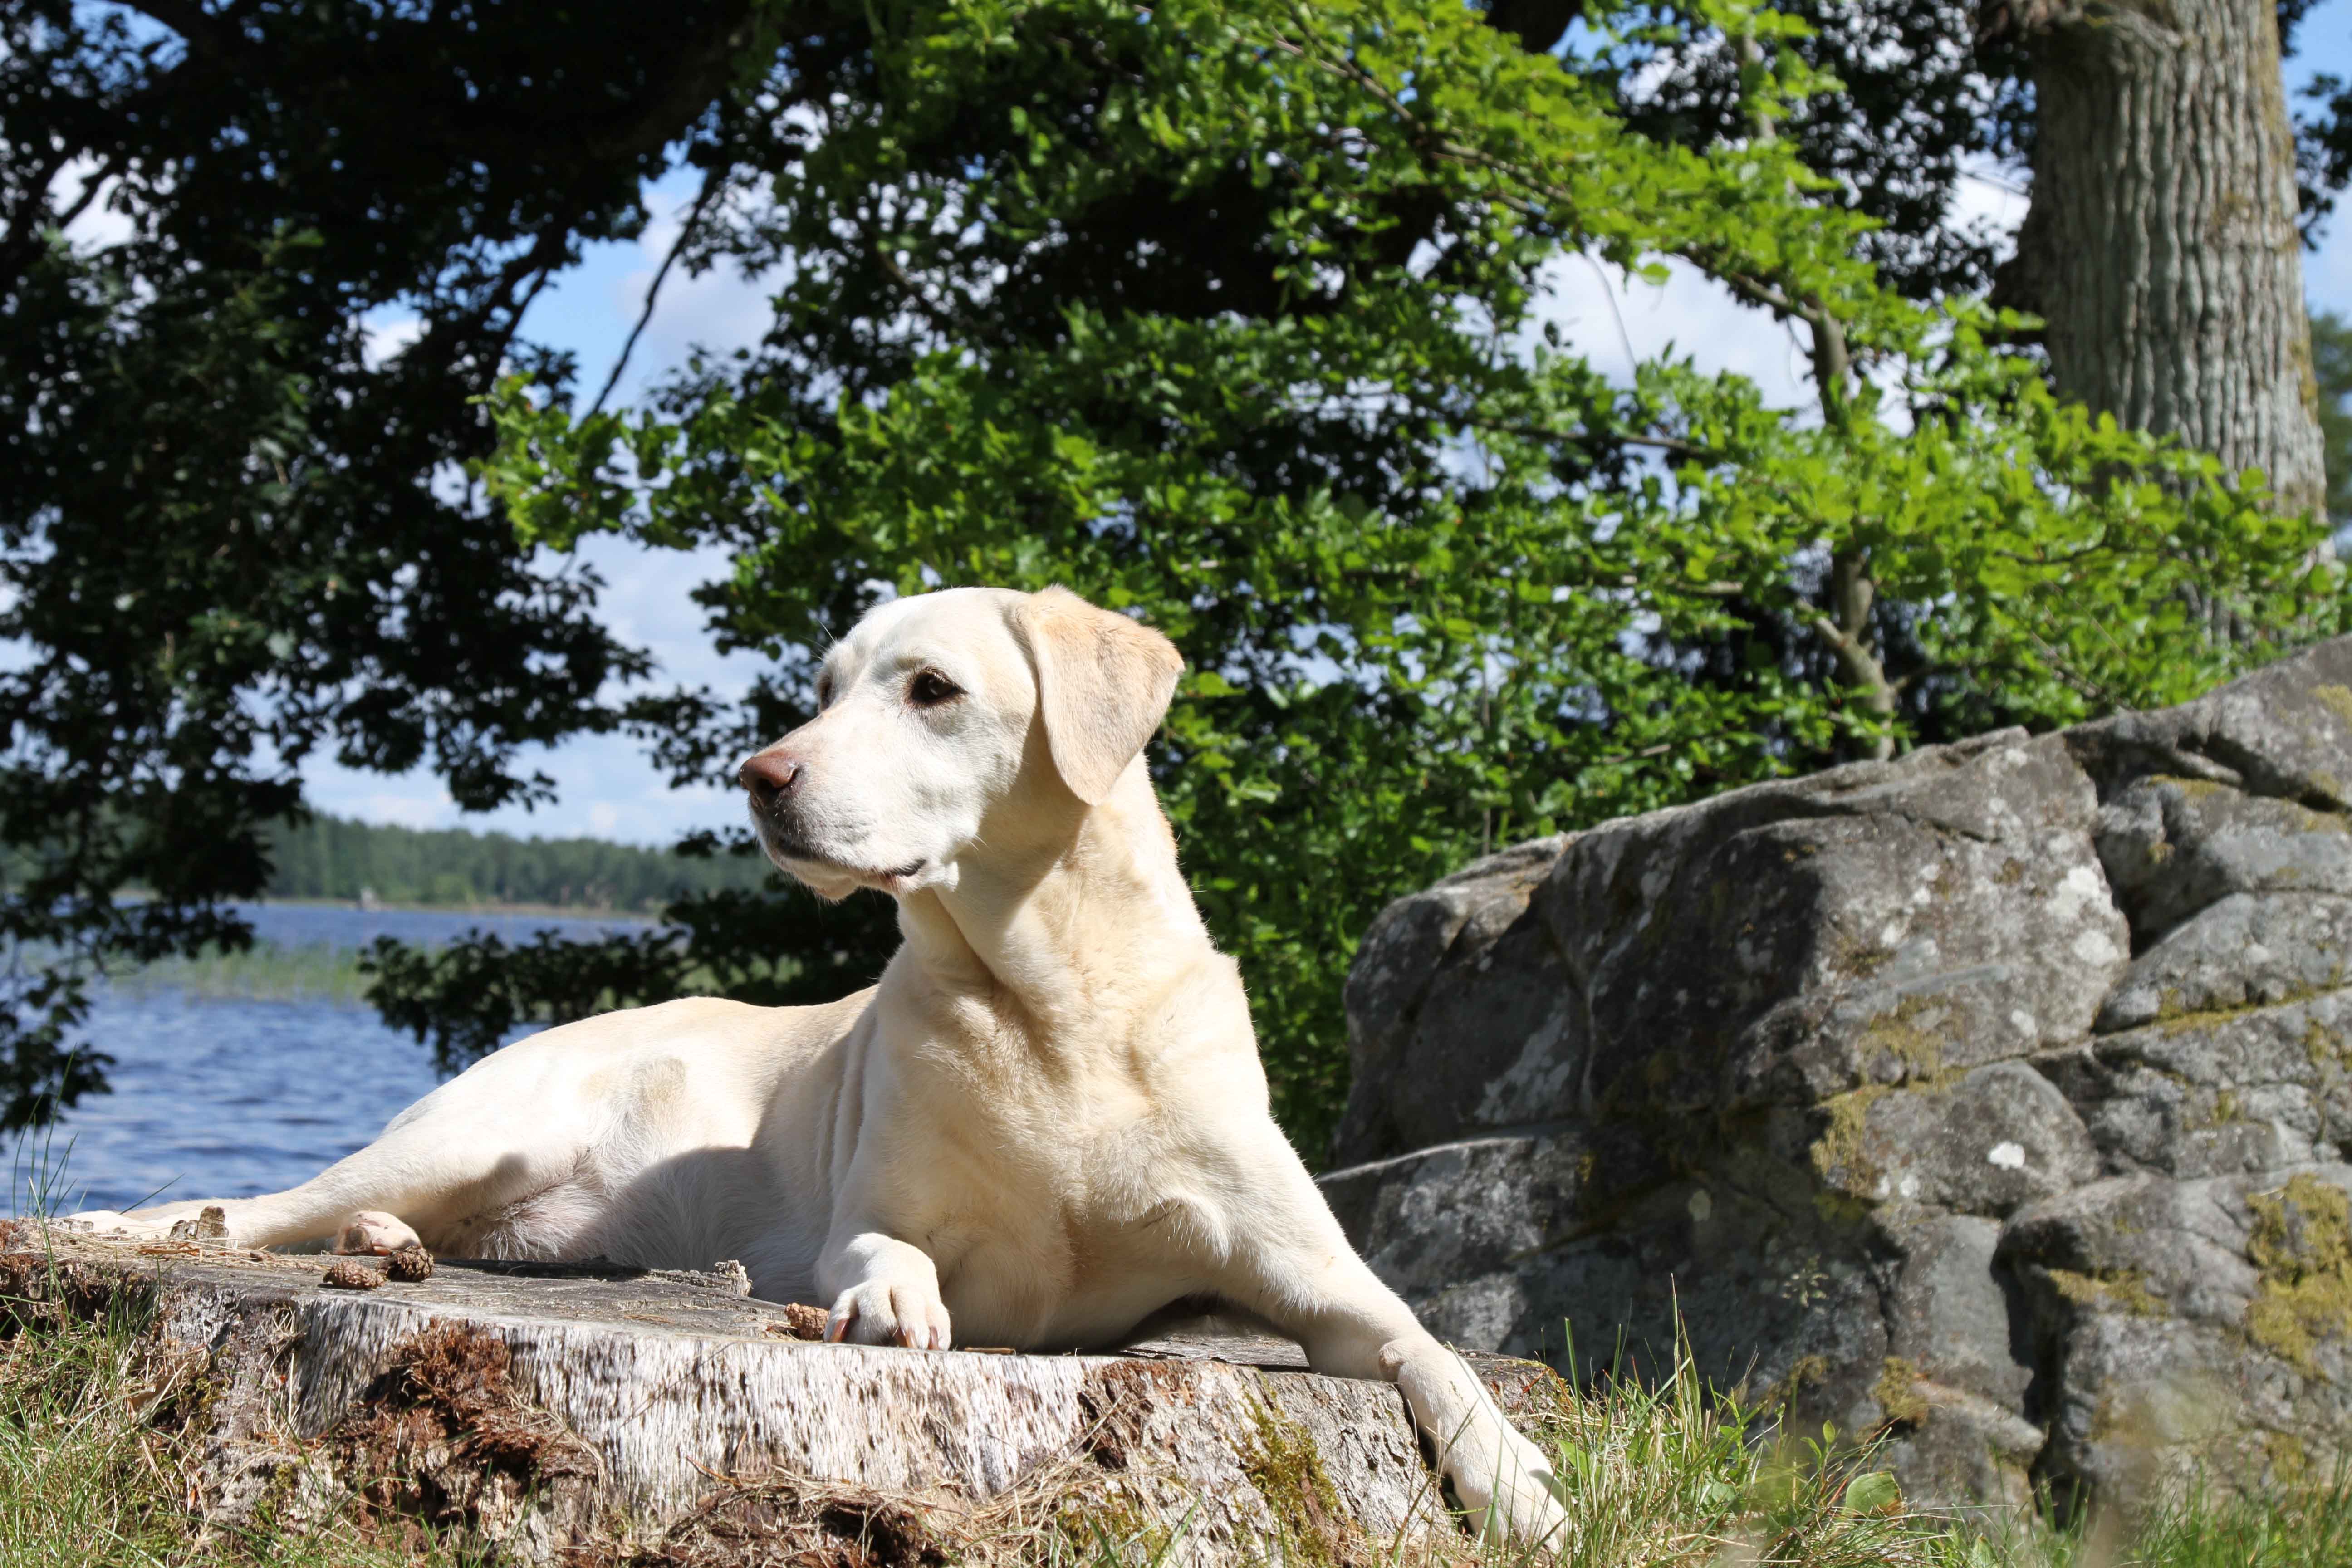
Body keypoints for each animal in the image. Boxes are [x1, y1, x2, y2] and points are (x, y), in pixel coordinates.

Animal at [74, 583, 1571, 1542]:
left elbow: (1427, 1344)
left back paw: (391, 1251)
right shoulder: (875, 1211)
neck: (1057, 1007)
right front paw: (895, 1306)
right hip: (479, 1129)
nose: (761, 776)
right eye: (824, 689)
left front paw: (1518, 1480)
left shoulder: (1306, 1270)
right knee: (259, 1208)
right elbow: (887, 1254)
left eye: (932, 690)